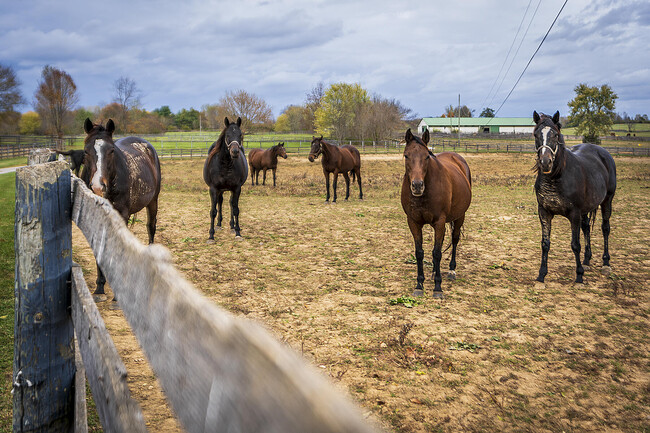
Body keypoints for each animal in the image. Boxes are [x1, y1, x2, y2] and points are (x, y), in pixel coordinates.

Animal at [81, 118, 162, 300]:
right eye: (86, 151)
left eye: (111, 150)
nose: (98, 187)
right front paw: (100, 286)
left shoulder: (122, 214)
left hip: (153, 201)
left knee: (151, 227)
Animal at [400, 127, 470, 296]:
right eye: (406, 155)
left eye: (426, 156)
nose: (417, 186)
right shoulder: (413, 222)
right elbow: (419, 252)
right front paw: (419, 285)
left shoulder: (439, 222)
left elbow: (437, 253)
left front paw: (438, 287)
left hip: (459, 217)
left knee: (455, 240)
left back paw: (451, 270)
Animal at [528, 109, 616, 282]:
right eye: (536, 134)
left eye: (555, 134)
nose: (545, 162)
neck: (557, 177)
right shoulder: (544, 212)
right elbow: (545, 243)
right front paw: (541, 275)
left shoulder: (574, 214)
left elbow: (575, 245)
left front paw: (579, 276)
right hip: (586, 208)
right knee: (587, 227)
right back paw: (587, 260)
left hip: (607, 201)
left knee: (605, 228)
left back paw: (606, 263)